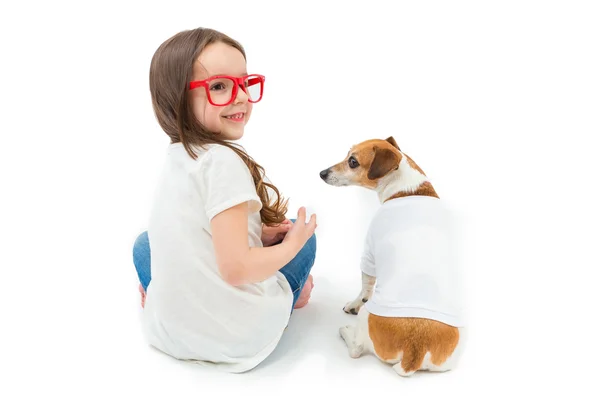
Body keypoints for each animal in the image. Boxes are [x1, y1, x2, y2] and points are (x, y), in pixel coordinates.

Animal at [322, 136, 466, 376]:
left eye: (352, 162)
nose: (322, 173)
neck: (409, 190)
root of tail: (415, 350)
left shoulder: (369, 254)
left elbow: (365, 287)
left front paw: (353, 304)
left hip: (366, 317)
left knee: (357, 348)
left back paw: (345, 331)